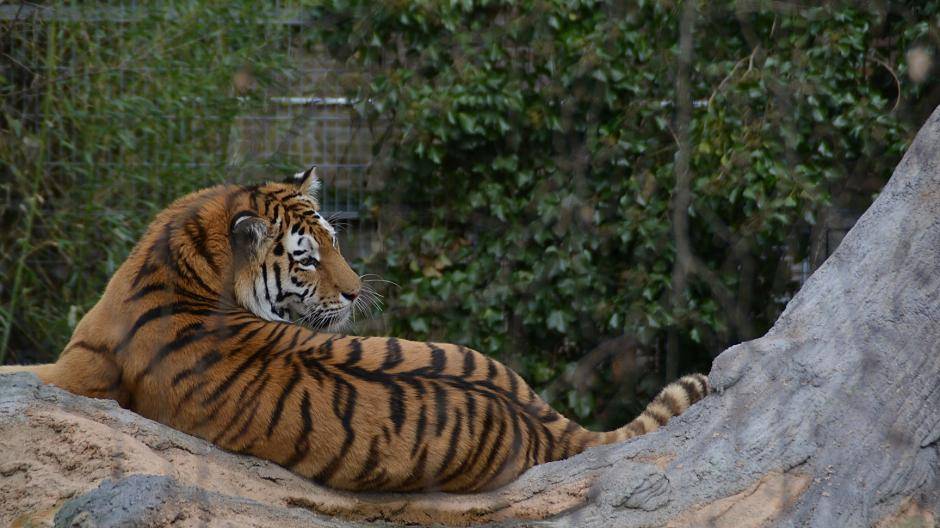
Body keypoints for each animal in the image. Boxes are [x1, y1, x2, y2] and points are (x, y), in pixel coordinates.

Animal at [0, 166, 709, 493]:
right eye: (307, 257)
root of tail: (535, 417)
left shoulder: (77, 364)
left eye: (334, 242)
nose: (353, 290)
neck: (191, 253)